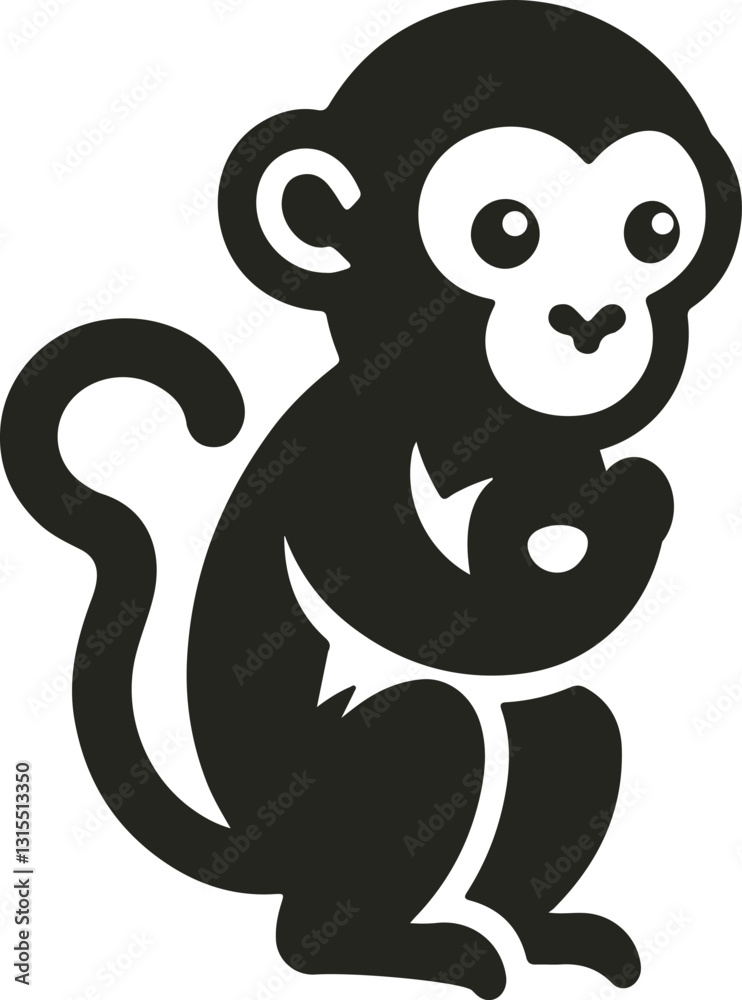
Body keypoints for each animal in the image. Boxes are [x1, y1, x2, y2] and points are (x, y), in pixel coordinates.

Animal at [2, 4, 739, 998]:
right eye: (506, 230)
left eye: (654, 230)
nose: (591, 321)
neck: (457, 415)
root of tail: (248, 843)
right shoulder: (342, 468)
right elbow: (458, 620)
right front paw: (632, 506)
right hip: (330, 804)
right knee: (429, 733)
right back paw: (401, 950)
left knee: (566, 721)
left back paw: (535, 931)